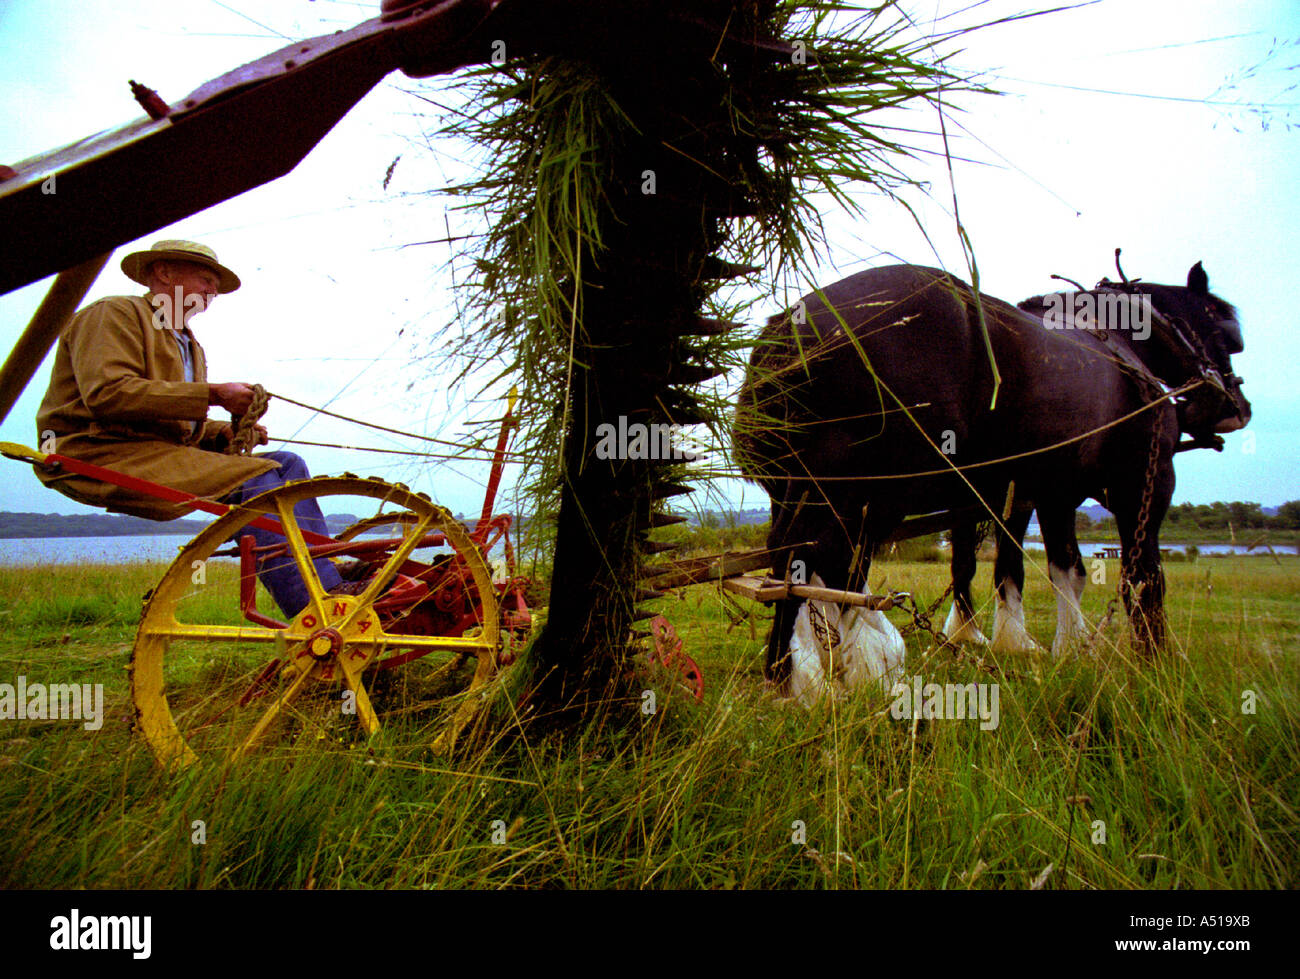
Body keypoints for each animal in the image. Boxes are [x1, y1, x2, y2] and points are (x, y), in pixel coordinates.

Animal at [733, 262, 1249, 698]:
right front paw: (1152, 662)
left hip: (807, 490)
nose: (1234, 408)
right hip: (865, 489)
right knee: (819, 562)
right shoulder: (1144, 484)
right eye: (1227, 334)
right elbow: (1143, 579)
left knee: (791, 561)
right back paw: (824, 672)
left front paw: (1057, 646)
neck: (1119, 347)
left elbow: (1055, 569)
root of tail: (788, 328)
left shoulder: (1044, 494)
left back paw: (795, 669)